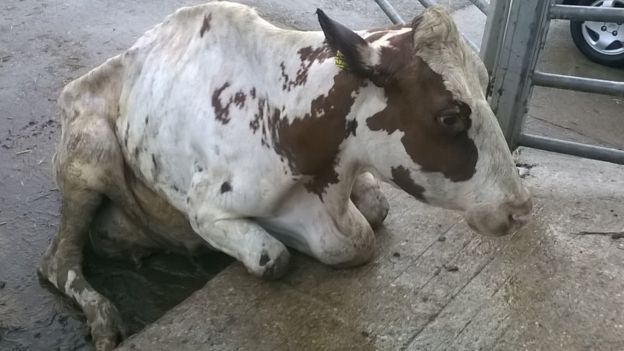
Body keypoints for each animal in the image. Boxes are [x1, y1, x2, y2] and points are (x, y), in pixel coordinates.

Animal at [37, 3, 532, 351]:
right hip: (90, 158)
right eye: (449, 116)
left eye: (488, 86)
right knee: (57, 263)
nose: (519, 208)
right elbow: (274, 256)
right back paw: (103, 317)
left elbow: (373, 214)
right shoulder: (205, 208)